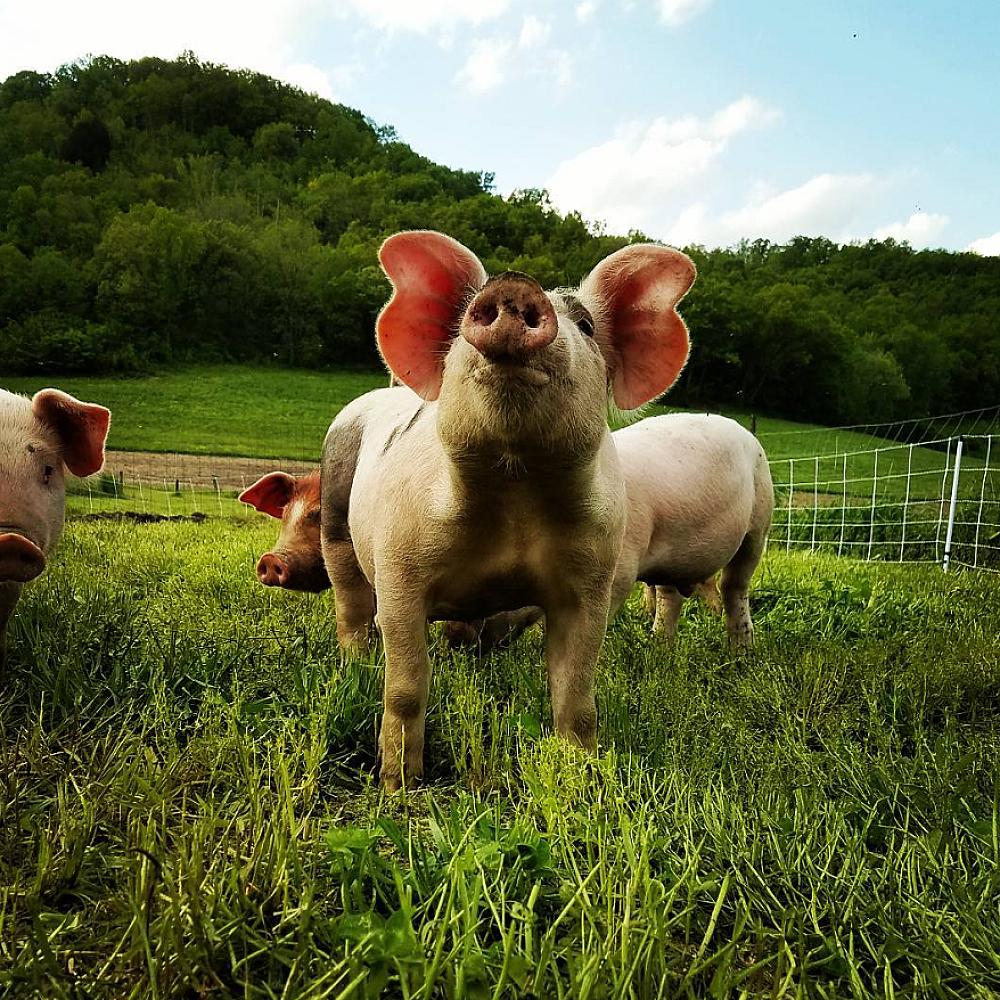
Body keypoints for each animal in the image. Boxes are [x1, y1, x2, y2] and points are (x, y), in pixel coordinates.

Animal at [320, 230, 695, 788]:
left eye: (585, 324)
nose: (515, 284)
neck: (515, 495)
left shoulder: (591, 581)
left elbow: (576, 695)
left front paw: (581, 776)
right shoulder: (398, 567)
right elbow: (406, 688)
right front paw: (398, 787)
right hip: (334, 515)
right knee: (350, 605)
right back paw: (356, 667)